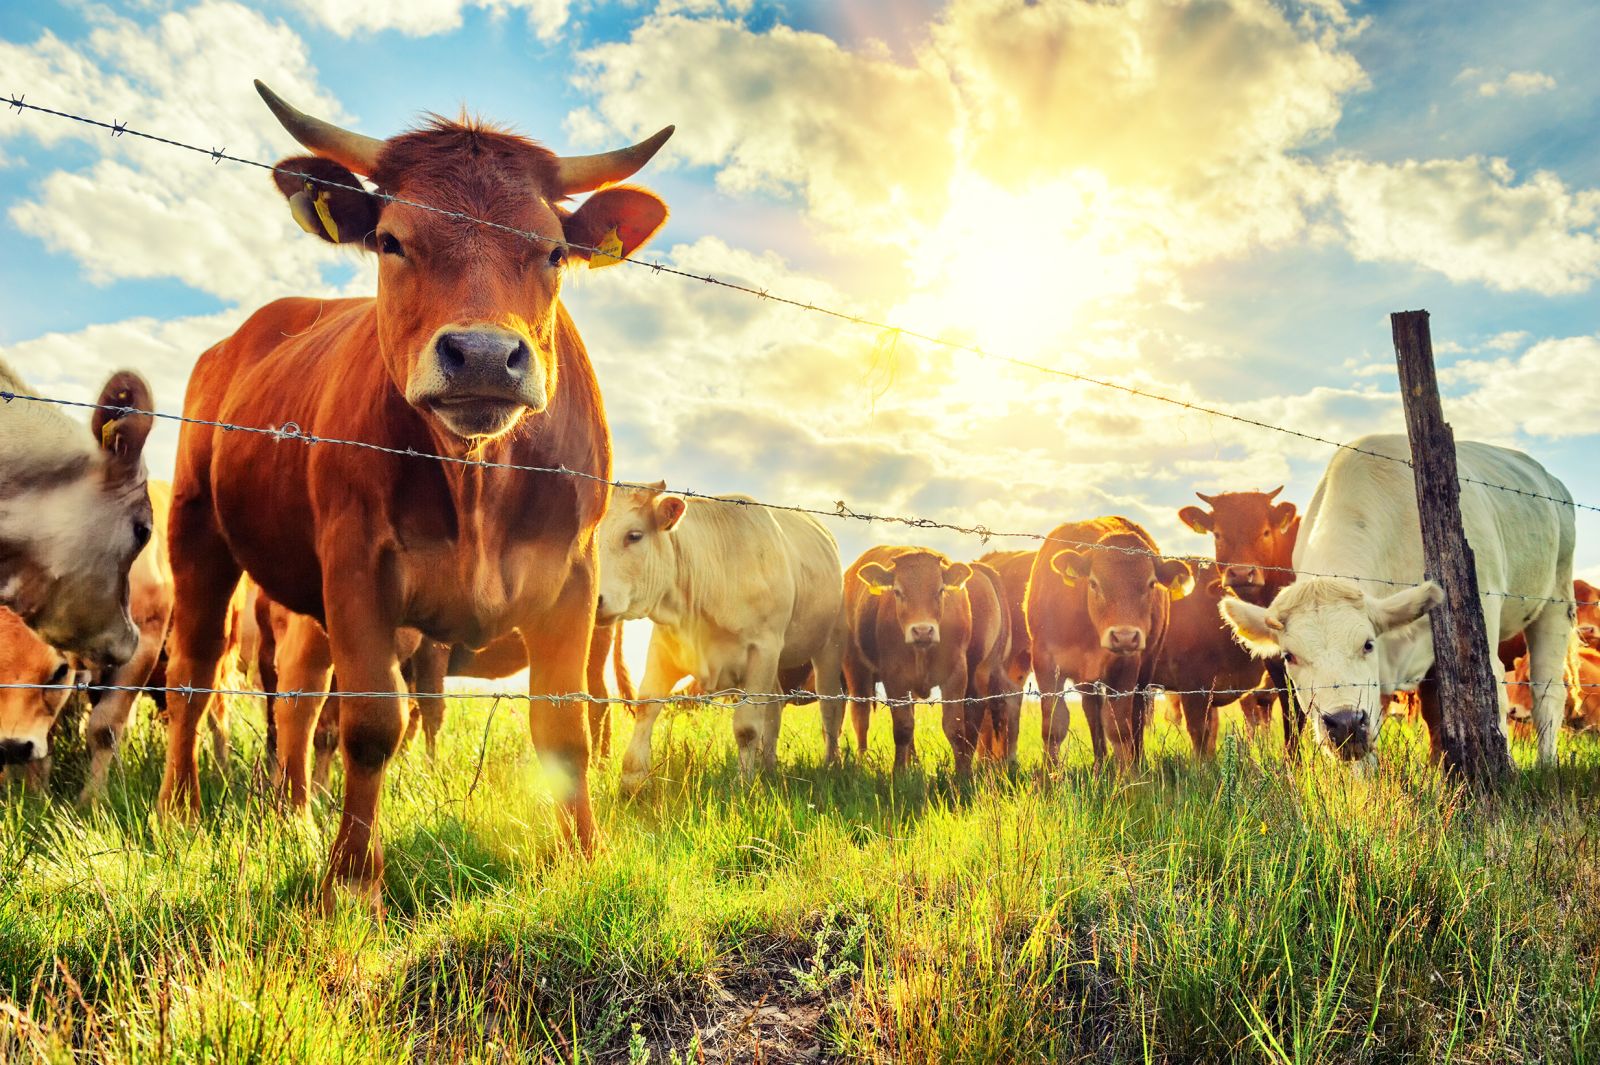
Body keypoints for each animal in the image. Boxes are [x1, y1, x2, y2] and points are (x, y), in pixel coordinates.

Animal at [159, 81, 673, 910]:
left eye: (553, 250)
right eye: (392, 240)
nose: (486, 356)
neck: (478, 479)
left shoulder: (575, 579)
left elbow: (564, 727)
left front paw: (584, 857)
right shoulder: (358, 566)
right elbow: (373, 725)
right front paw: (350, 883)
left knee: (300, 691)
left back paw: (294, 814)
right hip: (197, 530)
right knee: (195, 673)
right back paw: (181, 809)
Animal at [594, 483, 847, 791]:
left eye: (634, 535)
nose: (596, 599)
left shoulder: (762, 649)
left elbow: (747, 727)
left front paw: (744, 784)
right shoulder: (665, 646)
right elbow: (647, 707)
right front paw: (631, 781)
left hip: (828, 646)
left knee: (829, 707)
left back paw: (831, 764)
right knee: (774, 707)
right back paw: (769, 767)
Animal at [843, 546, 1008, 773]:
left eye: (940, 590)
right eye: (897, 591)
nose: (922, 631)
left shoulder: (956, 675)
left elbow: (955, 727)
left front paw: (963, 775)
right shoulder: (894, 679)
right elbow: (903, 728)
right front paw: (899, 773)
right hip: (856, 669)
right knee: (861, 717)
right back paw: (863, 763)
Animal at [1026, 517, 1192, 768]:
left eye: (1151, 583)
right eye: (1094, 583)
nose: (1125, 636)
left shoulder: (1125, 667)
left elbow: (1119, 728)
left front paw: (1128, 775)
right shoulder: (1045, 663)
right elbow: (1054, 726)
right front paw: (1050, 774)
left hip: (1145, 669)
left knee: (1136, 714)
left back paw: (1136, 759)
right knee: (1092, 712)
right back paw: (1099, 763)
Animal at [1220, 434, 1575, 767]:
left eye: (1367, 644)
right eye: (1289, 656)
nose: (1345, 723)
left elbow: (1491, 699)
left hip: (1558, 596)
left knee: (1547, 691)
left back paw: (1546, 764)